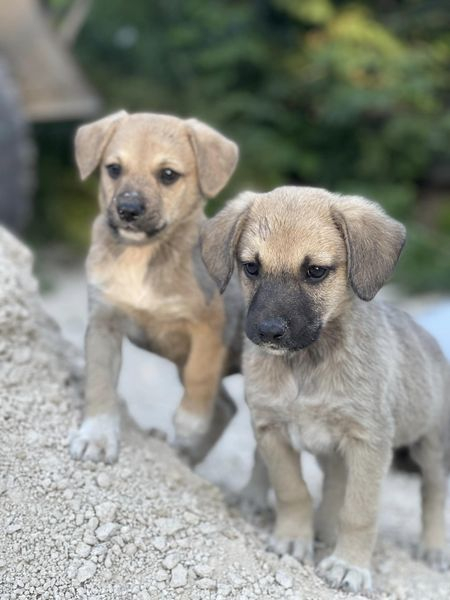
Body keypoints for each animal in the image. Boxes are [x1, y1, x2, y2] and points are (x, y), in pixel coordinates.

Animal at [69, 111, 243, 464]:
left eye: (168, 175)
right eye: (114, 169)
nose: (128, 210)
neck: (142, 255)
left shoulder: (210, 328)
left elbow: (200, 378)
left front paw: (189, 423)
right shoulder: (103, 322)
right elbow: (100, 383)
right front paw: (97, 436)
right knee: (227, 407)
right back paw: (187, 456)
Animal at [201, 186, 450, 596]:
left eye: (315, 271)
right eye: (251, 267)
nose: (268, 332)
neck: (307, 364)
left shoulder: (368, 442)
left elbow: (359, 511)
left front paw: (350, 565)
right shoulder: (271, 427)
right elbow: (292, 489)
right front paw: (292, 538)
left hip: (430, 447)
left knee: (433, 494)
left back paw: (434, 548)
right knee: (313, 479)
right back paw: (267, 502)